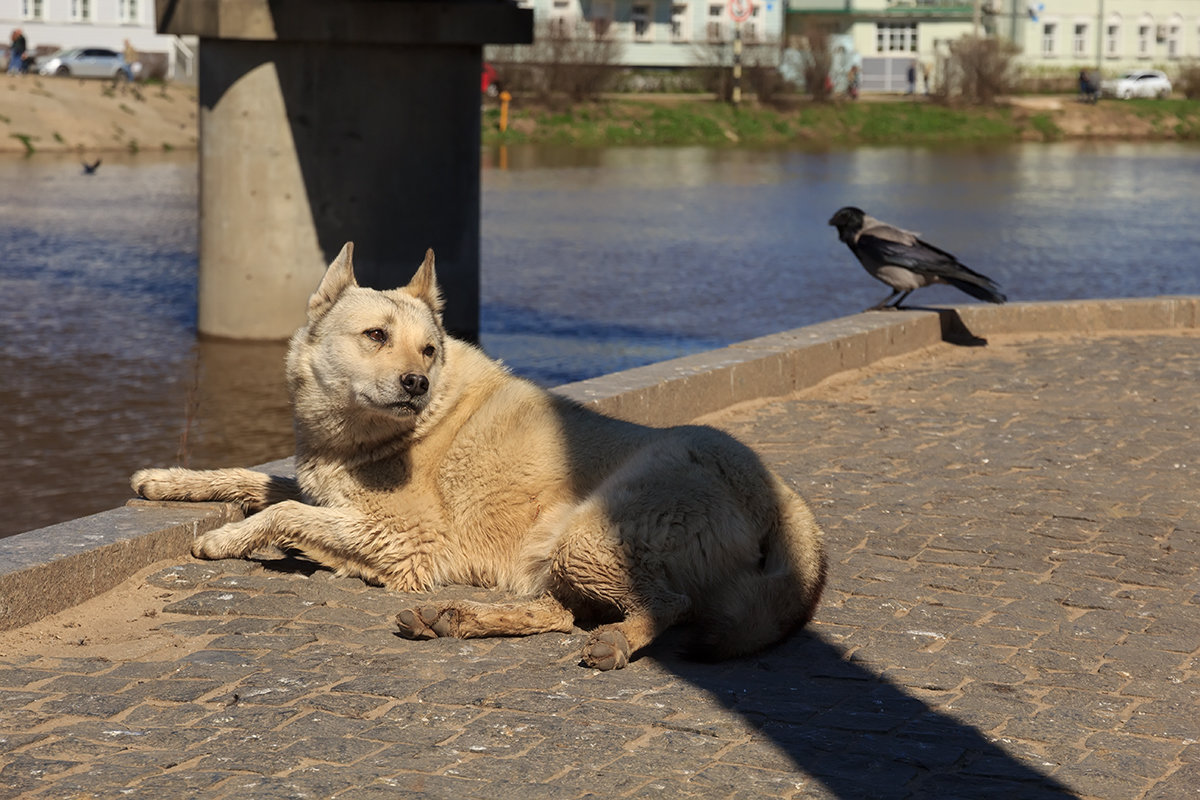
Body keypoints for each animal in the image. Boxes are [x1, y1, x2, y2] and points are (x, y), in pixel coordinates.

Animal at [131, 244, 825, 671]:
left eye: (429, 349)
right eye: (376, 335)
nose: (415, 383)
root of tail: (776, 493)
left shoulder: (407, 538)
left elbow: (281, 514)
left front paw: (227, 540)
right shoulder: (326, 489)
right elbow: (258, 481)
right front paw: (167, 481)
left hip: (586, 536)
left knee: (666, 605)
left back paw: (613, 643)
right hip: (555, 554)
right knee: (559, 612)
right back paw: (452, 618)